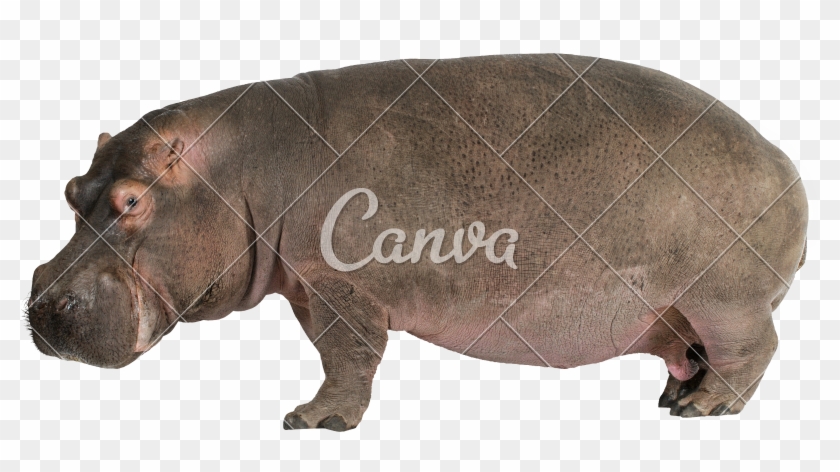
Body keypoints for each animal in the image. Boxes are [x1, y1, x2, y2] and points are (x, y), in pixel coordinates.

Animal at [27, 54, 808, 431]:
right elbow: (340, 353)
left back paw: (705, 412)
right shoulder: (306, 283)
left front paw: (312, 423)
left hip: (726, 298)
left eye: (132, 201)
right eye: (69, 190)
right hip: (686, 311)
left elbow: (349, 354)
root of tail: (786, 161)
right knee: (697, 354)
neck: (238, 166)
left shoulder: (342, 283)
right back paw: (675, 398)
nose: (40, 303)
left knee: (753, 350)